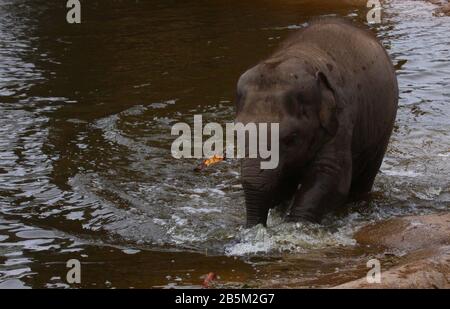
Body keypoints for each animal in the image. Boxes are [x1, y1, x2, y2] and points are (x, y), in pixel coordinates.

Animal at [236, 18, 398, 226]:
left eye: (290, 138)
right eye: (236, 135)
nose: (256, 226)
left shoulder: (341, 118)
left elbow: (330, 176)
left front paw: (296, 225)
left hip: (382, 131)